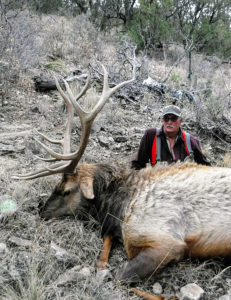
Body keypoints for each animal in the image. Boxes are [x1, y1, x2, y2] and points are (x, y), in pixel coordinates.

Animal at [13, 61, 231, 300]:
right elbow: (104, 253)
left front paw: (169, 295)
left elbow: (121, 278)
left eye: (67, 190)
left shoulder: (167, 241)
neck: (119, 206)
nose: (41, 211)